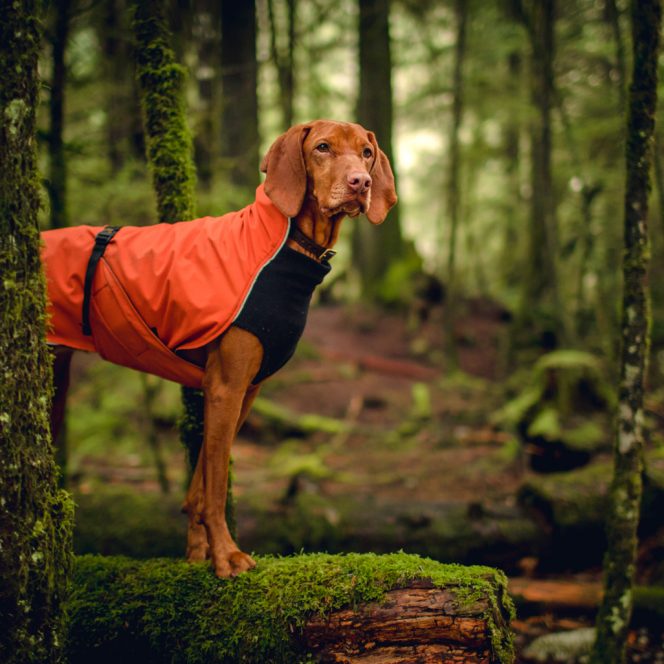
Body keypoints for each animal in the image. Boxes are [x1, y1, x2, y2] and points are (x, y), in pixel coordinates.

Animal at [44, 120, 396, 576]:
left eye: (366, 153)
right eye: (322, 147)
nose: (361, 183)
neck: (283, 244)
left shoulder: (246, 391)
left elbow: (199, 483)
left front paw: (198, 553)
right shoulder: (226, 387)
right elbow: (215, 487)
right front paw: (226, 555)